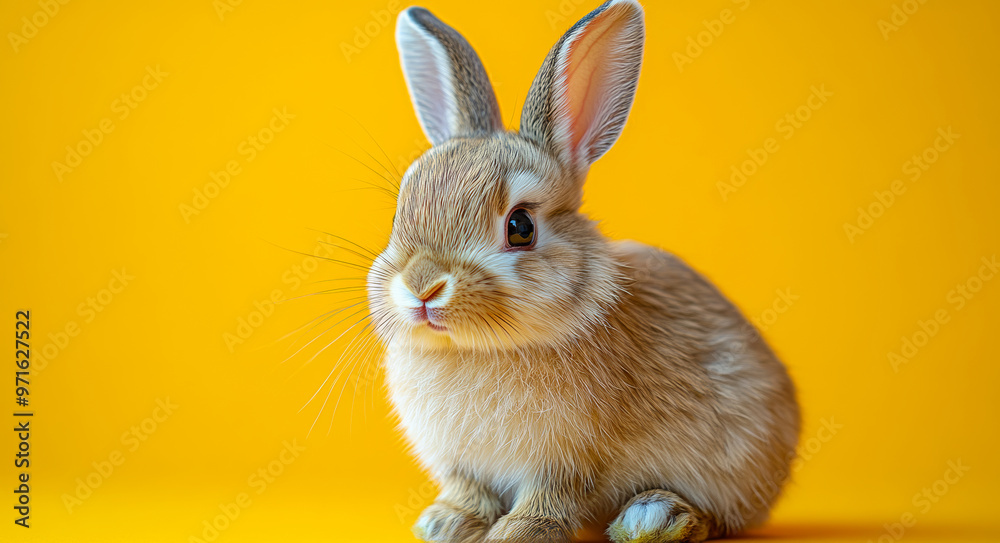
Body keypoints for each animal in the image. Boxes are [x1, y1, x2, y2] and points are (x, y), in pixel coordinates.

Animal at [365, 1, 800, 541]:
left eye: (521, 227)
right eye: (399, 214)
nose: (422, 287)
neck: (476, 348)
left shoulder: (568, 459)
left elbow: (551, 496)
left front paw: (518, 532)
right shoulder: (463, 464)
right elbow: (470, 491)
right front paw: (447, 523)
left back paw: (655, 517)